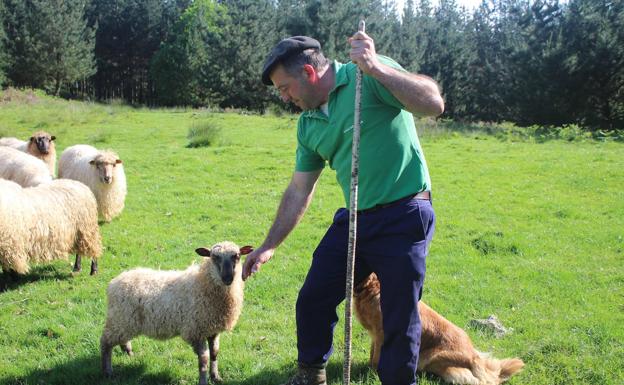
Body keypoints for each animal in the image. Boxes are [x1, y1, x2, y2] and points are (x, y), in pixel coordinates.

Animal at [100, 242, 254, 382]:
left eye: (237, 256)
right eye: (214, 257)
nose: (228, 278)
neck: (203, 283)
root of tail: (114, 282)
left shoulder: (212, 329)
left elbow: (215, 353)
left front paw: (215, 376)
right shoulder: (195, 331)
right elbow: (203, 360)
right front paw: (203, 380)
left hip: (125, 322)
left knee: (121, 339)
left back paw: (128, 352)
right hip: (119, 319)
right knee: (105, 342)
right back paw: (107, 372)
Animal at [354, 272, 524, 382]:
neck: (373, 289)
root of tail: (474, 358)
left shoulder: (381, 335)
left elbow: (376, 359)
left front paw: (372, 374)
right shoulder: (375, 336)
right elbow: (372, 354)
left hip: (435, 359)